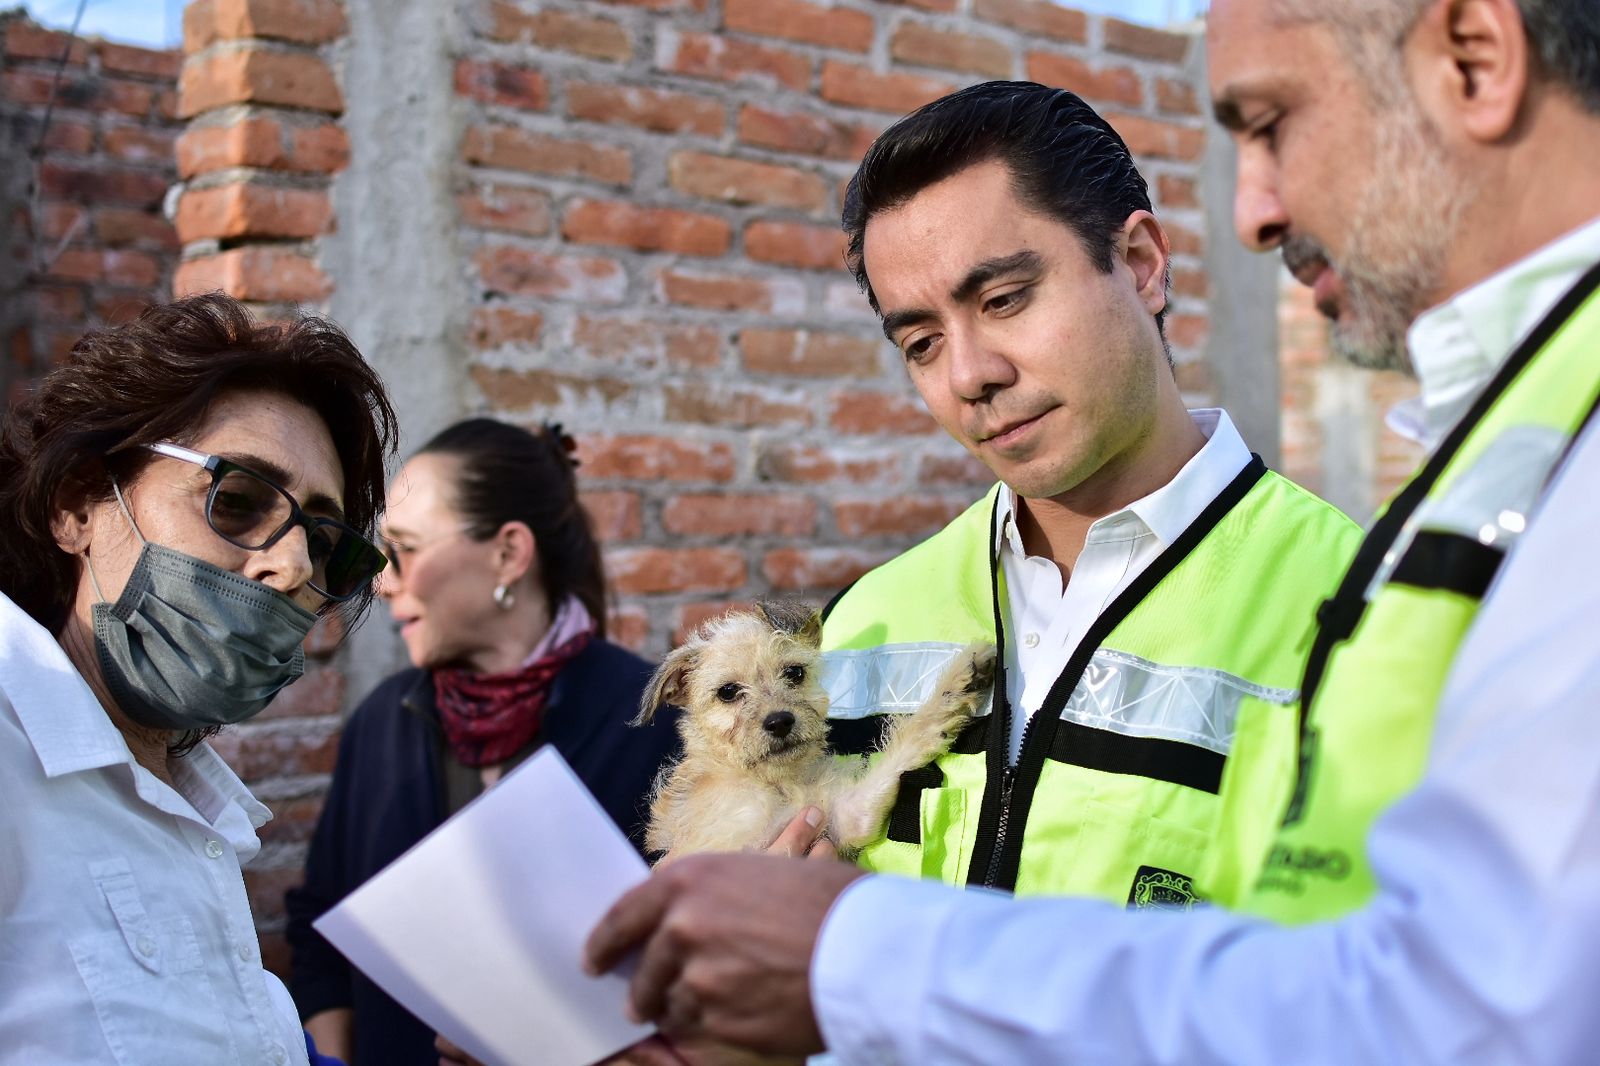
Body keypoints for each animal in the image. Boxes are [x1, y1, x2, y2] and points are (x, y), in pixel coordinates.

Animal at [633, 601, 985, 857]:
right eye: (728, 692)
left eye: (794, 673)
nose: (779, 721)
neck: (777, 784)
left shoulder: (847, 814)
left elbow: (904, 747)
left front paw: (960, 680)